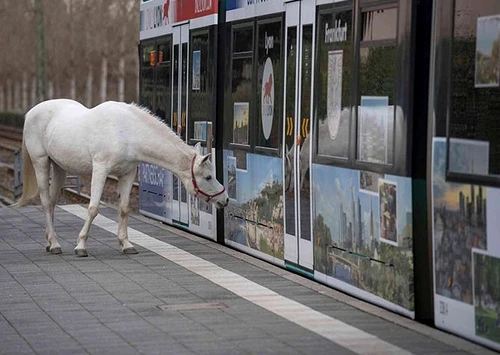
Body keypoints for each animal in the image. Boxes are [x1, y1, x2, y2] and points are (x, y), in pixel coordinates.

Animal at [13, 98, 229, 258]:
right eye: (208, 177)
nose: (225, 200)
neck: (128, 132)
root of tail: (31, 112)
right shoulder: (100, 169)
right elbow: (93, 208)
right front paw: (81, 246)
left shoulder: (128, 174)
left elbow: (124, 209)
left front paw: (126, 244)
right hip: (41, 162)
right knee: (45, 202)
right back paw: (56, 244)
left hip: (59, 167)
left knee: (52, 202)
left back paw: (50, 242)